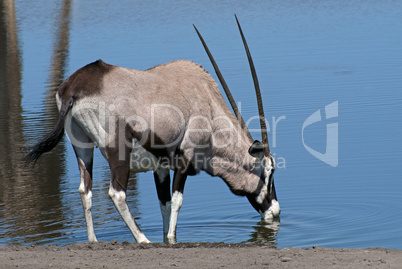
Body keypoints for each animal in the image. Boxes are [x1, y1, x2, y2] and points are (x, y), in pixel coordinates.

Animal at [25, 16, 280, 243]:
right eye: (268, 172)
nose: (275, 211)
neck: (207, 105)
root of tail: (73, 88)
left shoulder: (161, 167)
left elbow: (164, 204)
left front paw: (166, 239)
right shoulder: (184, 160)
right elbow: (177, 201)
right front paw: (171, 239)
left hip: (82, 146)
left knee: (84, 190)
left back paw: (93, 240)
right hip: (119, 152)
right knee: (116, 193)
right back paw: (143, 239)